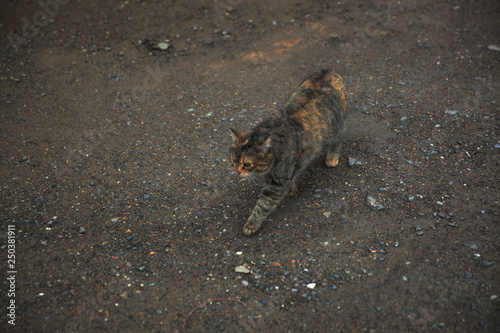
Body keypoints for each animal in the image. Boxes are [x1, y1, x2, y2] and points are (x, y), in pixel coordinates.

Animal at [229, 68, 348, 235]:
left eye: (247, 164)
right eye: (233, 160)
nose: (237, 171)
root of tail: (328, 70)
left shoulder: (276, 185)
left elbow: (262, 206)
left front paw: (251, 224)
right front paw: (292, 187)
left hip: (339, 127)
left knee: (336, 142)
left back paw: (332, 157)